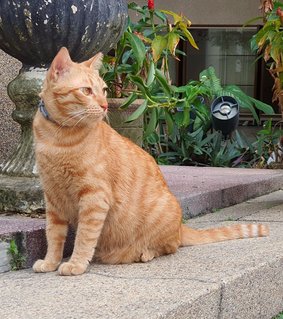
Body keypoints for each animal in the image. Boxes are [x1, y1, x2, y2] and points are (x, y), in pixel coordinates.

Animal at [32, 46, 268, 276]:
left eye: (104, 91)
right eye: (87, 91)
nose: (105, 105)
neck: (57, 138)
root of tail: (181, 226)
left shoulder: (94, 198)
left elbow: (84, 237)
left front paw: (76, 264)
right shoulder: (52, 199)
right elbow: (54, 235)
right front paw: (50, 262)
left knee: (170, 246)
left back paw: (142, 253)